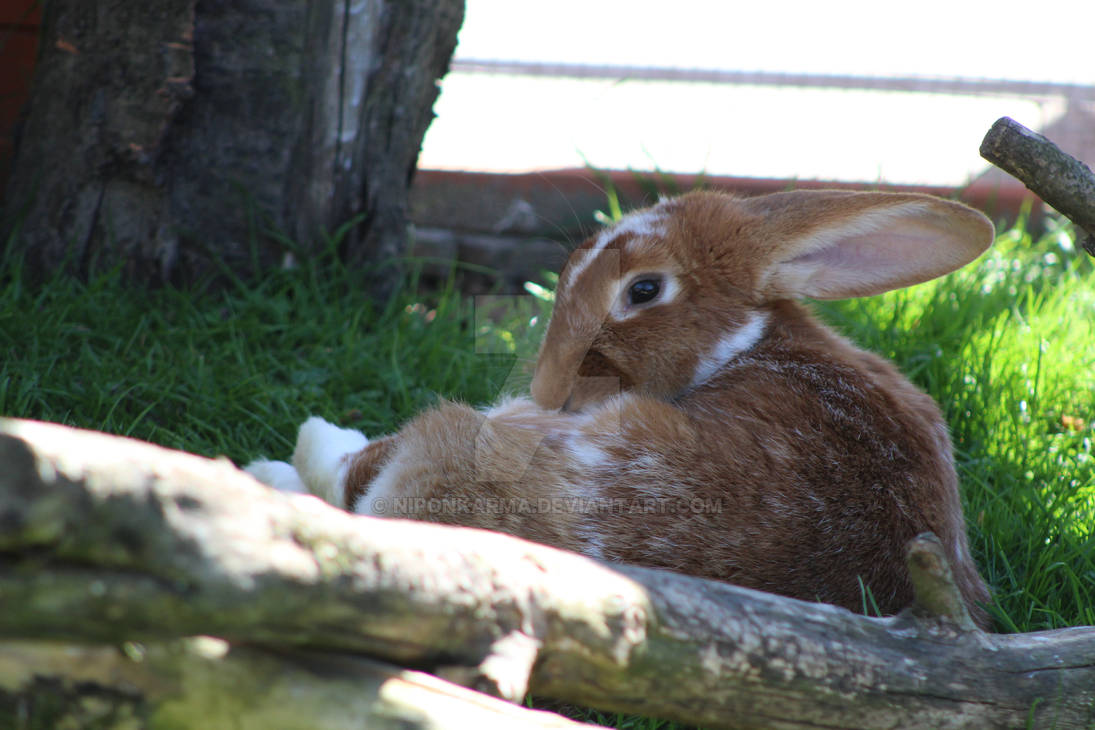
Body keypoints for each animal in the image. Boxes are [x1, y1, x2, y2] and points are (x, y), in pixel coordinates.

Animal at [246, 189, 995, 629]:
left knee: (353, 478)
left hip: (471, 446)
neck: (743, 343)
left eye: (642, 290)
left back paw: (278, 464)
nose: (550, 390)